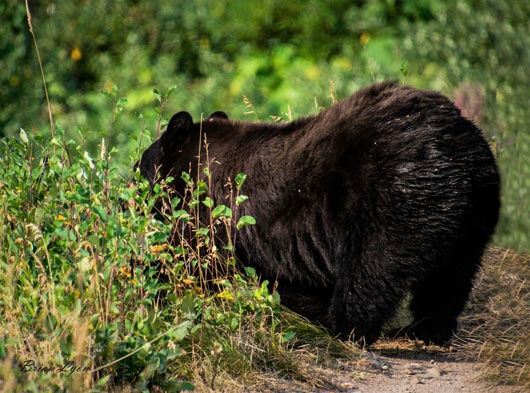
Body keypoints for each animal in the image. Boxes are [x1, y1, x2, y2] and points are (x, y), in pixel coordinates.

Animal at [138, 82, 498, 344]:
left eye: (137, 165)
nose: (129, 190)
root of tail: (454, 155)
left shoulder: (212, 214)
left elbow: (189, 259)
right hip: (474, 214)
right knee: (450, 278)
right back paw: (425, 329)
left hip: (386, 198)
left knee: (369, 268)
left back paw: (343, 325)